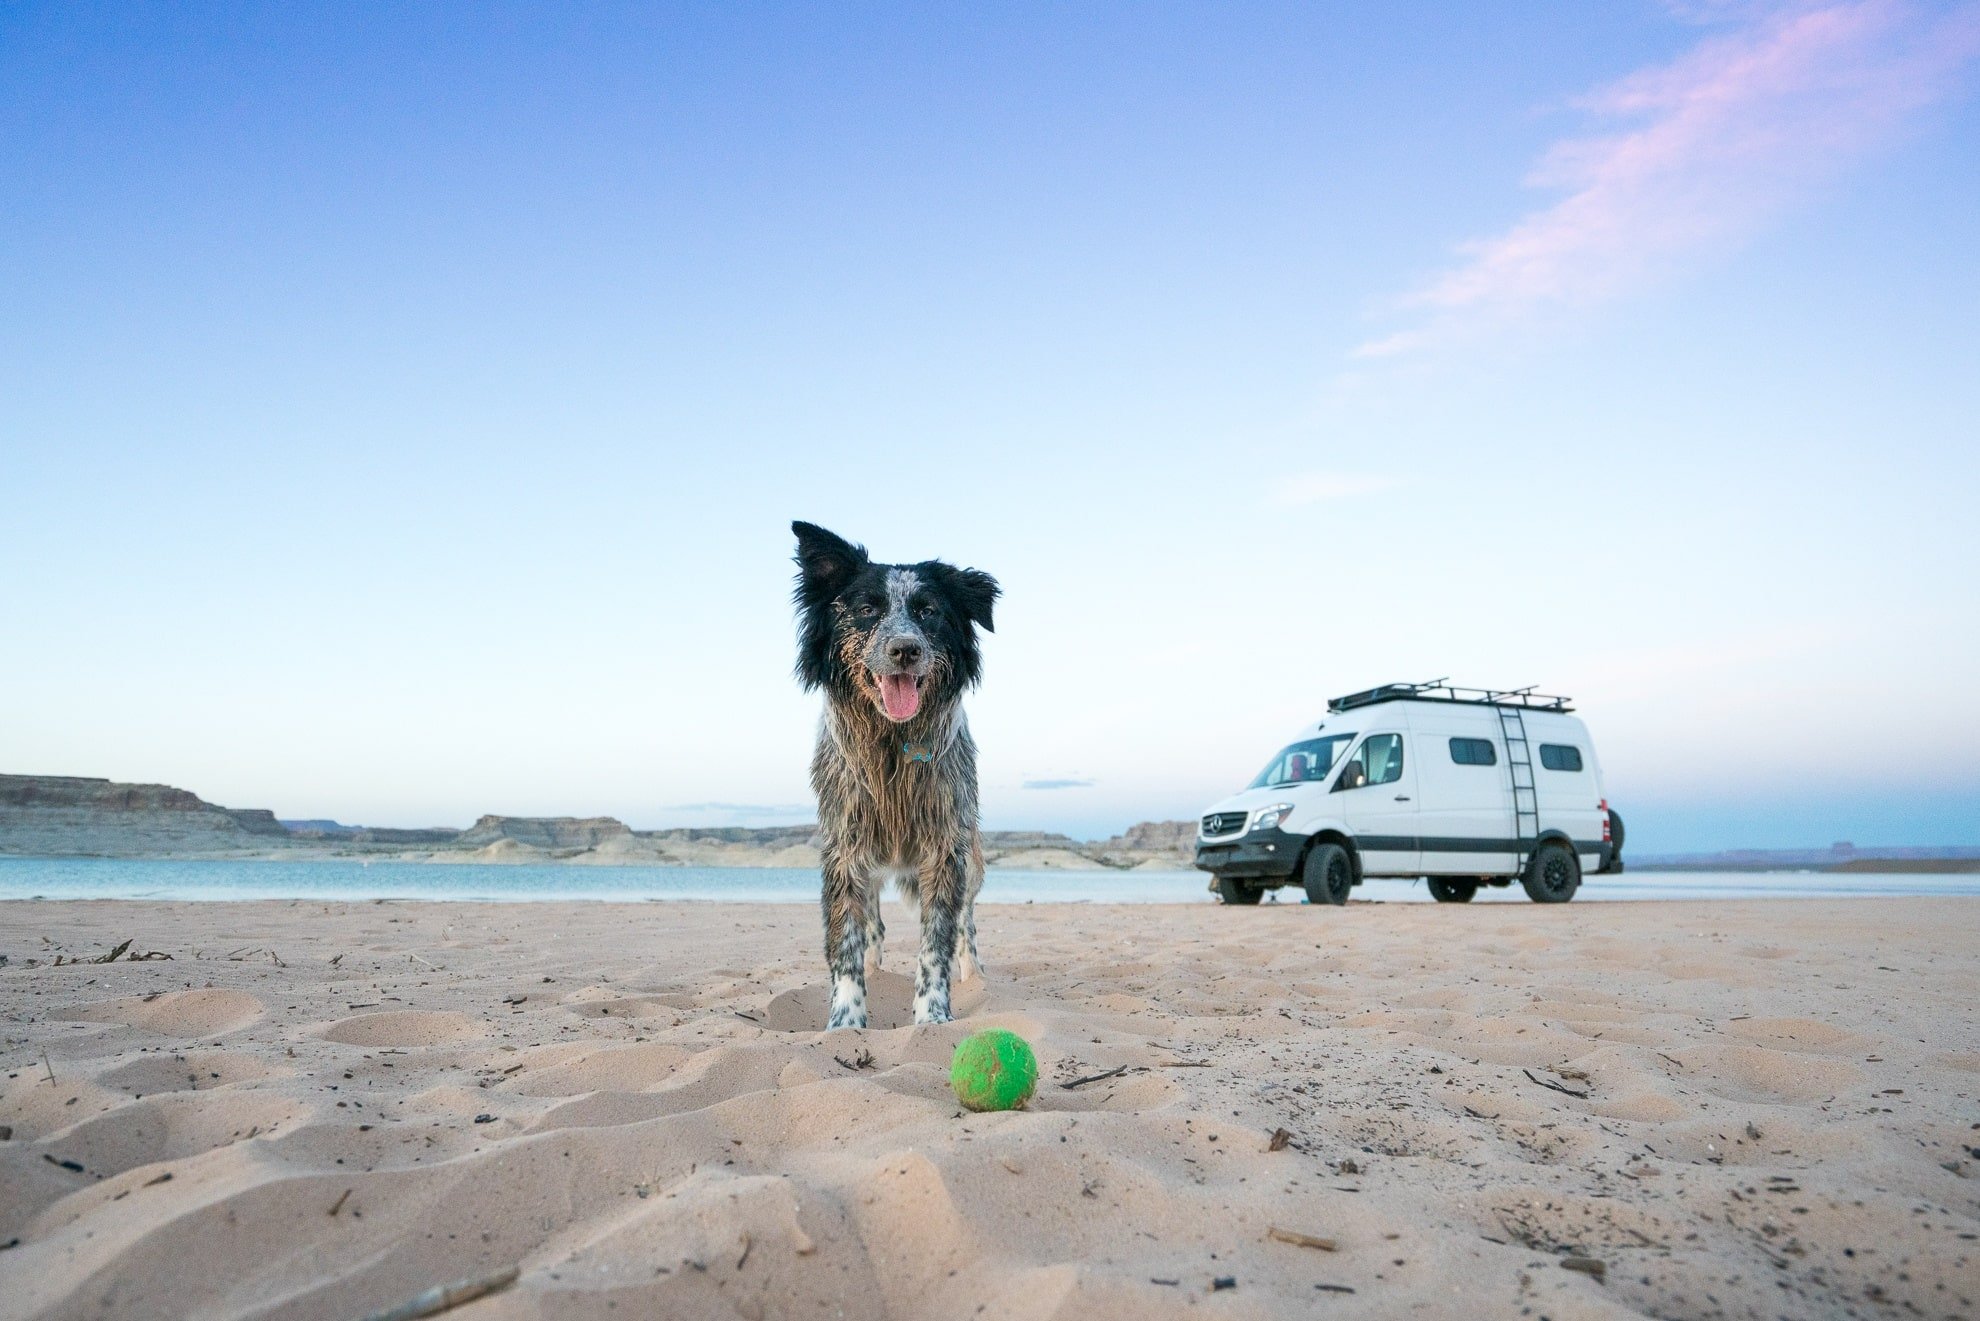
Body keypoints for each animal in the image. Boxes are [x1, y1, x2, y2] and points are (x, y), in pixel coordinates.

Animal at [792, 522, 1005, 1029]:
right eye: (867, 609)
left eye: (929, 612)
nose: (905, 649)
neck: (891, 743)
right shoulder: (844, 848)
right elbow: (846, 942)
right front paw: (845, 1022)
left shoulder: (947, 847)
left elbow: (937, 944)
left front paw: (933, 1017)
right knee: (873, 924)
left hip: (972, 862)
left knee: (967, 924)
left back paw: (975, 974)